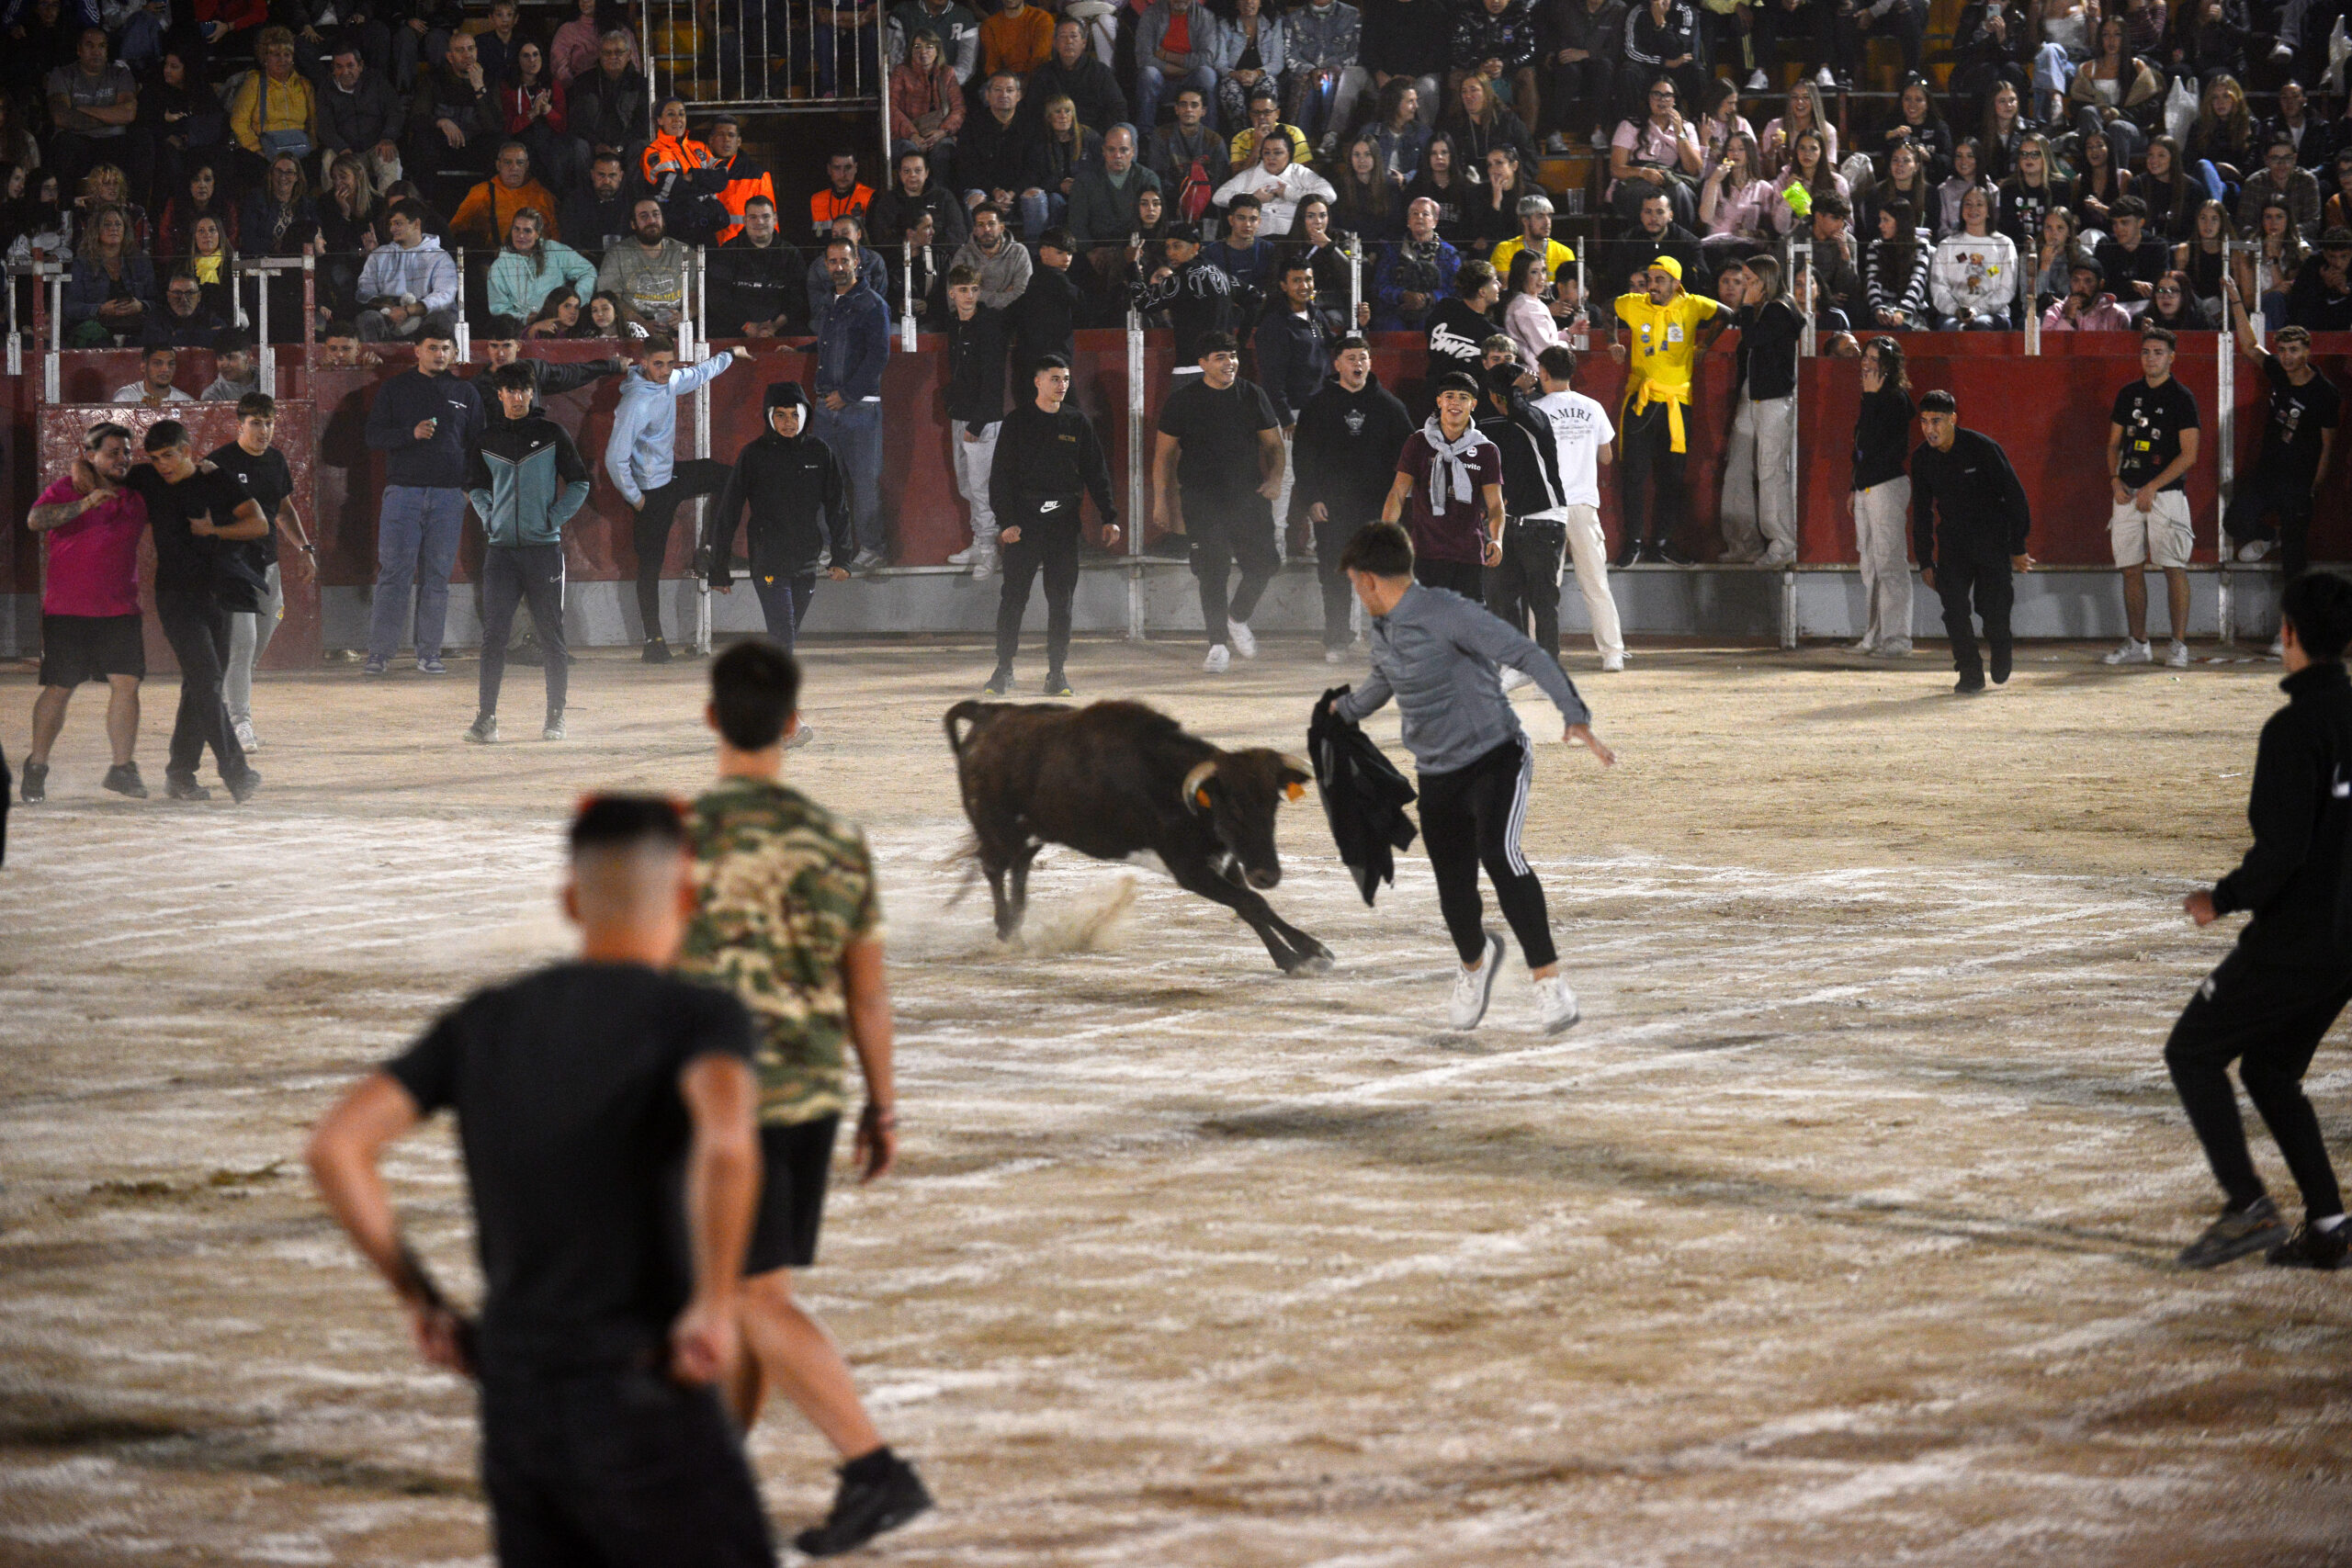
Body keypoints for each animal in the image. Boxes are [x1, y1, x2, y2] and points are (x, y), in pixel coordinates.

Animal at [943, 698, 1333, 974]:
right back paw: (1008, 931)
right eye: (1232, 806)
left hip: (1031, 833)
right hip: (997, 829)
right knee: (993, 867)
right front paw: (1301, 956)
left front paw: (1303, 953)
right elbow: (1251, 902)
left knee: (1019, 868)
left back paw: (1016, 928)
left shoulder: (1223, 861)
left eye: (1273, 804)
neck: (1174, 788)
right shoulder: (1190, 869)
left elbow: (1251, 904)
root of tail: (988, 714)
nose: (1268, 875)